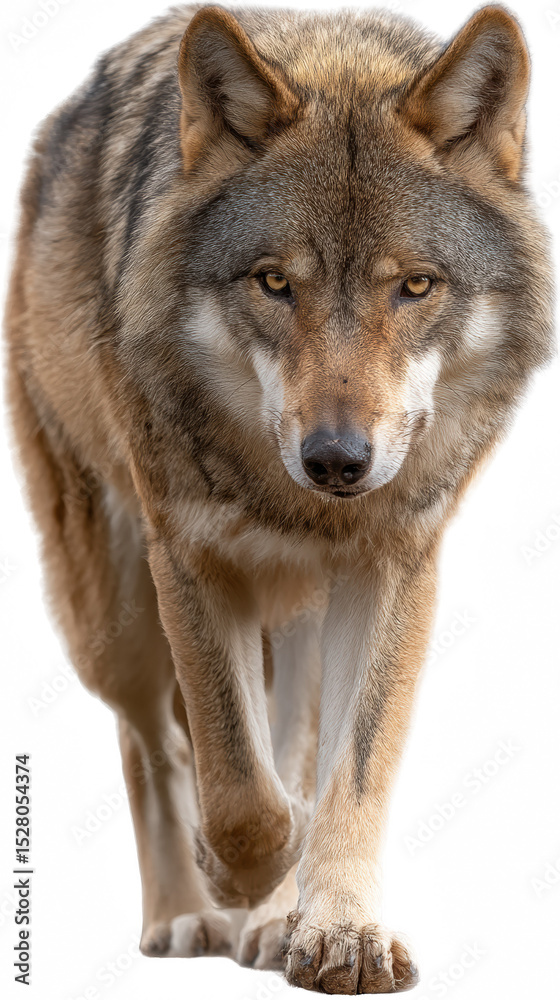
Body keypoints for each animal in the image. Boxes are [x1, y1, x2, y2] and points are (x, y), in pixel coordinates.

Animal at [5, 1, 553, 993]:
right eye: (273, 282)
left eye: (415, 285)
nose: (336, 460)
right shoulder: (189, 557)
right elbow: (234, 781)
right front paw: (240, 871)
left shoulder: (395, 566)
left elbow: (347, 771)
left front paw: (337, 931)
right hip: (112, 619)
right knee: (150, 743)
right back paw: (186, 915)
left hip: (293, 615)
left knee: (282, 742)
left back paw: (267, 922)